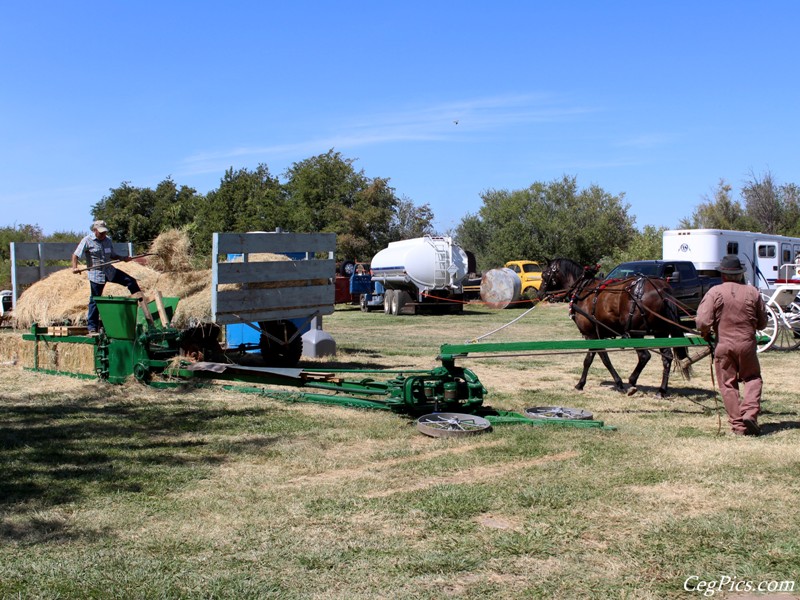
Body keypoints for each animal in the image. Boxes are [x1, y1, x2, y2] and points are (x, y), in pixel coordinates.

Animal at [540, 255, 692, 396]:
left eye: (544, 274)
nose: (540, 293)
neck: (582, 290)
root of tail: (661, 290)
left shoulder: (592, 335)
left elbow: (597, 360)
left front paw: (585, 384)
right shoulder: (598, 335)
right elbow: (596, 359)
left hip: (635, 333)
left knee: (645, 356)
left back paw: (632, 381)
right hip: (661, 332)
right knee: (666, 358)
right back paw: (661, 390)